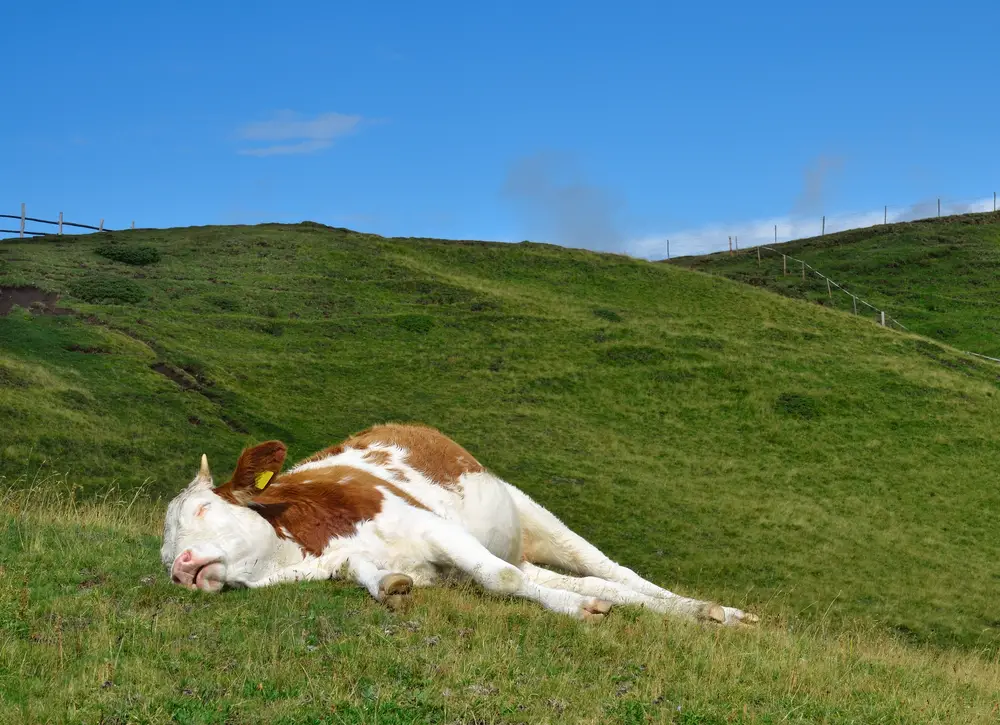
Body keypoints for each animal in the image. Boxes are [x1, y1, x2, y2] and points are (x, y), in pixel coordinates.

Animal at [162, 422, 756, 624]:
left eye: (204, 509)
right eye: (164, 550)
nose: (181, 567)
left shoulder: (435, 528)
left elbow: (503, 580)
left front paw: (578, 612)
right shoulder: (355, 561)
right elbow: (376, 578)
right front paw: (392, 586)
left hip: (535, 516)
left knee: (614, 571)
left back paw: (719, 611)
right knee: (601, 583)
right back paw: (697, 613)